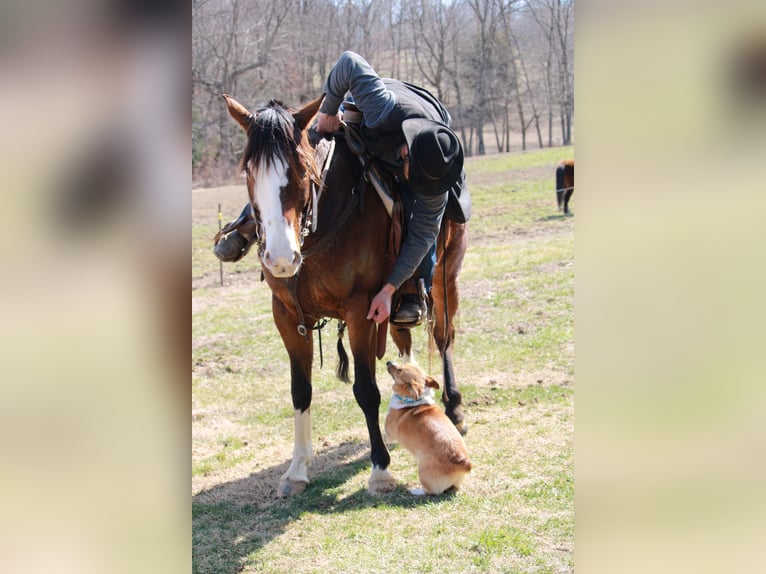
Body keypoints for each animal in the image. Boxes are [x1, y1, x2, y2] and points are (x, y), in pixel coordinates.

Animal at [221, 94, 468, 496]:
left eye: (302, 170)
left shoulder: (360, 311)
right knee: (404, 341)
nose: (281, 258)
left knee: (444, 338)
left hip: (446, 278)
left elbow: (366, 390)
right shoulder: (286, 314)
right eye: (248, 172)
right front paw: (296, 471)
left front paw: (380, 470)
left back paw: (454, 409)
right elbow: (300, 390)